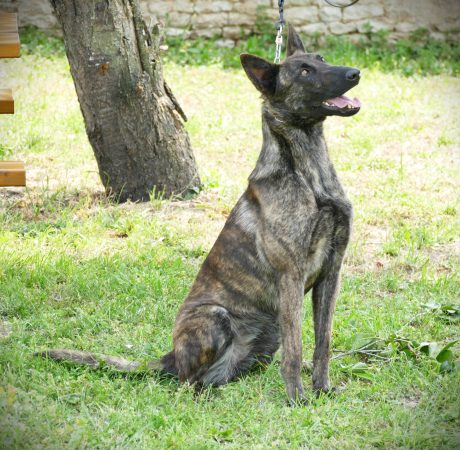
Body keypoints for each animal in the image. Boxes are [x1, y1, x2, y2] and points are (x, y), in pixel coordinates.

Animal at [39, 25, 362, 404]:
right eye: (305, 72)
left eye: (321, 60)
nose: (354, 73)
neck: (308, 170)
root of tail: (170, 356)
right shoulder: (291, 275)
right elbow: (296, 349)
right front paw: (297, 398)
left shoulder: (331, 271)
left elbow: (323, 341)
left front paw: (322, 389)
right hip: (216, 317)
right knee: (186, 382)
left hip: (267, 336)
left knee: (217, 376)